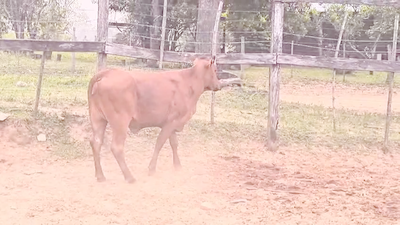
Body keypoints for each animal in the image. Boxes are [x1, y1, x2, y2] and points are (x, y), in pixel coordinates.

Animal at [86, 56, 222, 183]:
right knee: (116, 147)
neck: (189, 82)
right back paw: (129, 177)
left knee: (96, 142)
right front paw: (152, 168)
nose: (219, 85)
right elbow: (160, 143)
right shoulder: (171, 122)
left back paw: (100, 176)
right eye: (215, 70)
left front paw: (177, 165)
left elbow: (174, 143)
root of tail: (107, 73)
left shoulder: (173, 123)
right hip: (120, 121)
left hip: (98, 118)